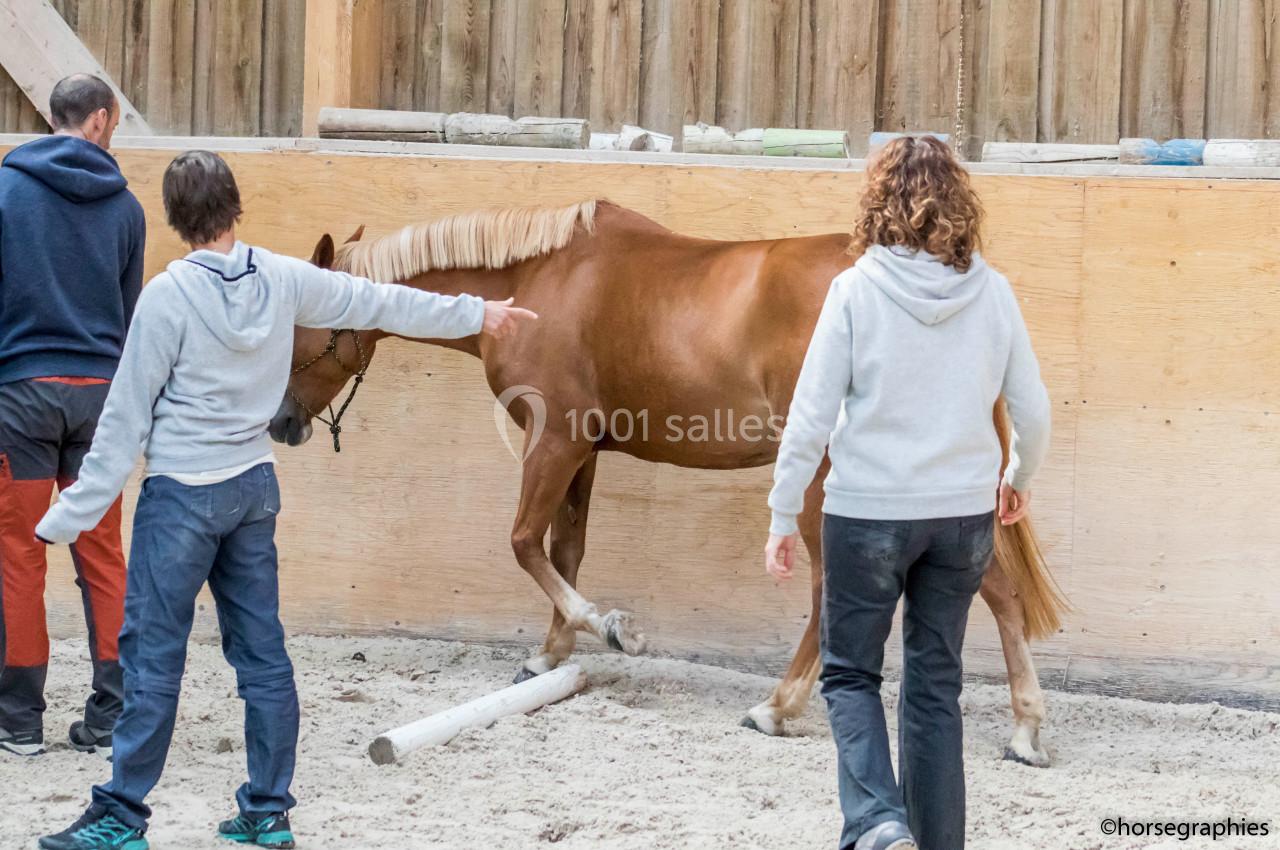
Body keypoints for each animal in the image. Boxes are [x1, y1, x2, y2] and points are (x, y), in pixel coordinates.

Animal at [269, 199, 1067, 766]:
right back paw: (1026, 730)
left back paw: (778, 707)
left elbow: (525, 543)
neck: (534, 285)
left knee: (830, 591)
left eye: (303, 323)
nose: (280, 424)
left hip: (823, 483)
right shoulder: (585, 450)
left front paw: (610, 628)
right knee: (999, 590)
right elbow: (565, 550)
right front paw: (551, 653)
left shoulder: (553, 439)